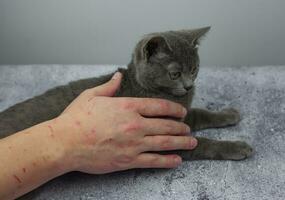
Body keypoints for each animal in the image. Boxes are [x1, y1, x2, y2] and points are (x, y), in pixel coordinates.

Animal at [0, 26, 252, 161]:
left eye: (194, 69)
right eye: (175, 74)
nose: (189, 86)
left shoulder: (179, 114)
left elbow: (200, 113)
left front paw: (228, 114)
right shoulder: (159, 134)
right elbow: (199, 143)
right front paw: (238, 147)